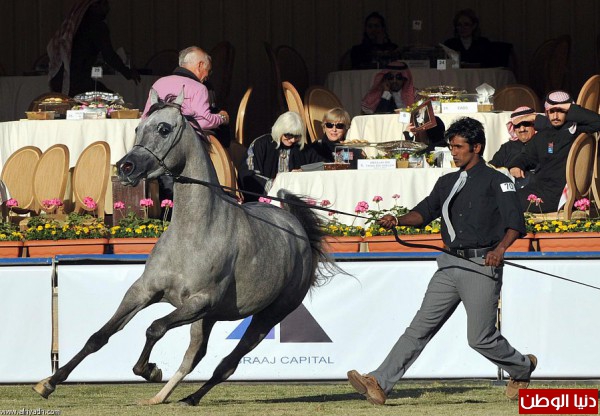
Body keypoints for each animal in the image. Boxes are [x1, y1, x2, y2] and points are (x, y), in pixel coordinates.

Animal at [34, 89, 332, 404]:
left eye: (164, 129)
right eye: (138, 129)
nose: (126, 167)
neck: (194, 235)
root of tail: (297, 228)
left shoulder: (200, 302)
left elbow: (154, 328)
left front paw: (149, 370)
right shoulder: (144, 292)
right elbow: (99, 336)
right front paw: (49, 383)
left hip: (267, 316)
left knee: (226, 364)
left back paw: (189, 397)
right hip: (208, 320)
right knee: (194, 356)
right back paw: (164, 397)